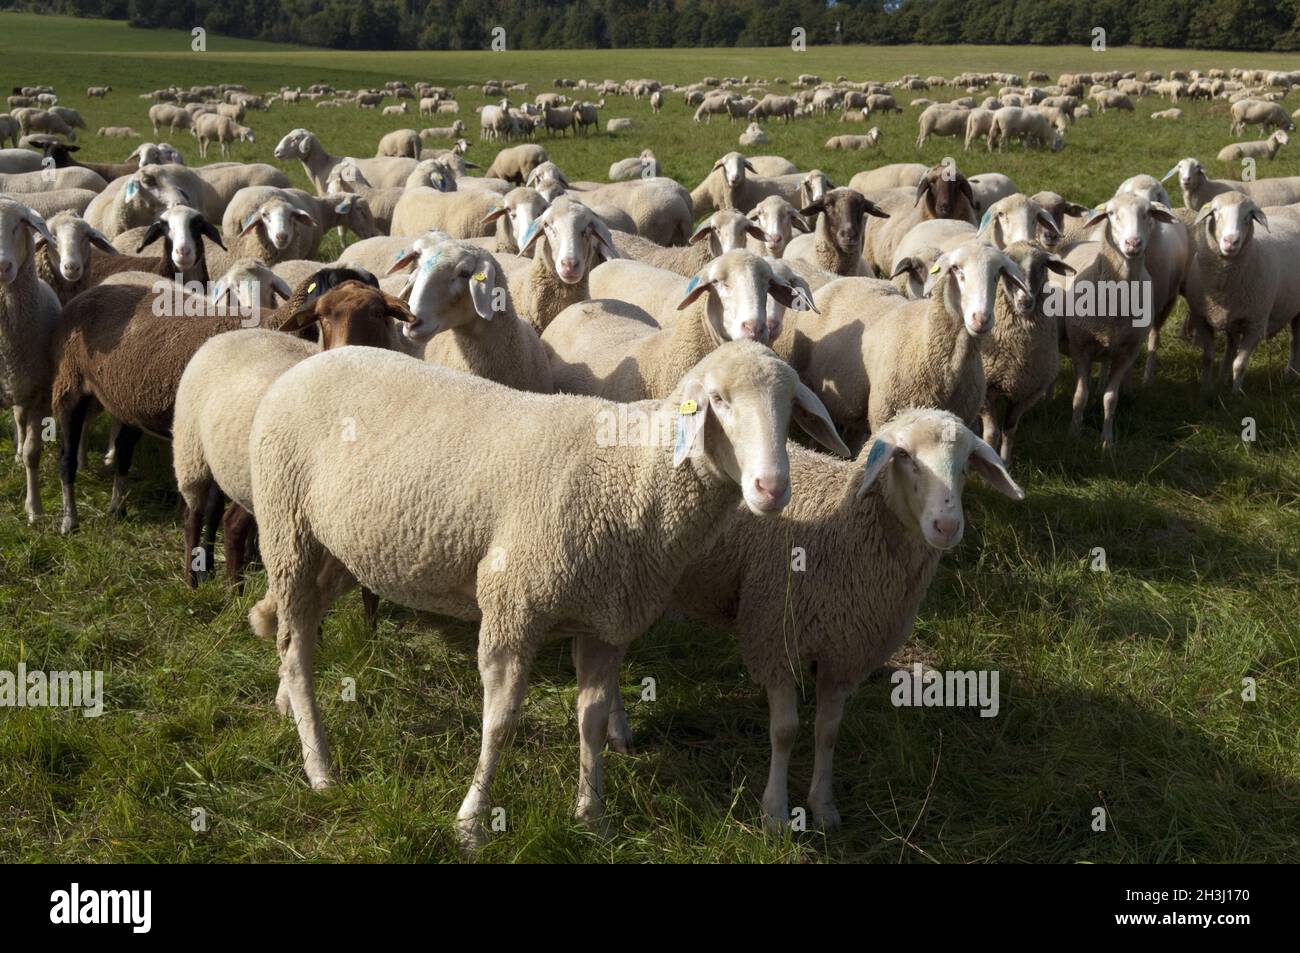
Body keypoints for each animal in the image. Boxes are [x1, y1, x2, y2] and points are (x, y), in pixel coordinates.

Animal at [243, 339, 844, 842]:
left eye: (790, 407)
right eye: (718, 400)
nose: (772, 489)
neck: (631, 479)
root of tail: (308, 362)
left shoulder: (605, 622)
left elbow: (592, 722)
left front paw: (592, 815)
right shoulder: (514, 605)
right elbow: (500, 724)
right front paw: (472, 821)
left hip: (342, 548)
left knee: (298, 628)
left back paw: (286, 706)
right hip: (287, 528)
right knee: (296, 648)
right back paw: (319, 767)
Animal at [668, 408, 1023, 828]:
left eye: (967, 461)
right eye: (904, 456)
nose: (947, 526)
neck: (840, 525)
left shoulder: (844, 652)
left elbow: (828, 732)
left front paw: (823, 806)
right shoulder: (774, 638)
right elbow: (785, 732)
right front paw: (776, 812)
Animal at [979, 241, 1075, 462]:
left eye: (1041, 266)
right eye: (1005, 270)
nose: (1025, 301)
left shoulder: (1027, 391)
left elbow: (1009, 431)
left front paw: (1005, 463)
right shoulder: (987, 389)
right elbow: (992, 433)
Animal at [1051, 192, 1180, 447]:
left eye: (1148, 213)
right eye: (1111, 213)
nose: (1133, 243)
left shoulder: (1127, 353)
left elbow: (1111, 398)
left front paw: (1107, 441)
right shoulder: (1081, 348)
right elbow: (1080, 396)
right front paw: (1073, 434)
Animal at [1182, 193, 1300, 393]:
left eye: (1248, 216)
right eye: (1216, 211)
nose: (1231, 241)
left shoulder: (1256, 324)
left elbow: (1239, 364)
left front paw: (1236, 393)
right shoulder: (1201, 317)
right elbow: (1208, 357)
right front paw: (1206, 388)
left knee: (1294, 342)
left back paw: (1289, 373)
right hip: (1235, 318)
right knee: (1231, 344)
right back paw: (1222, 379)